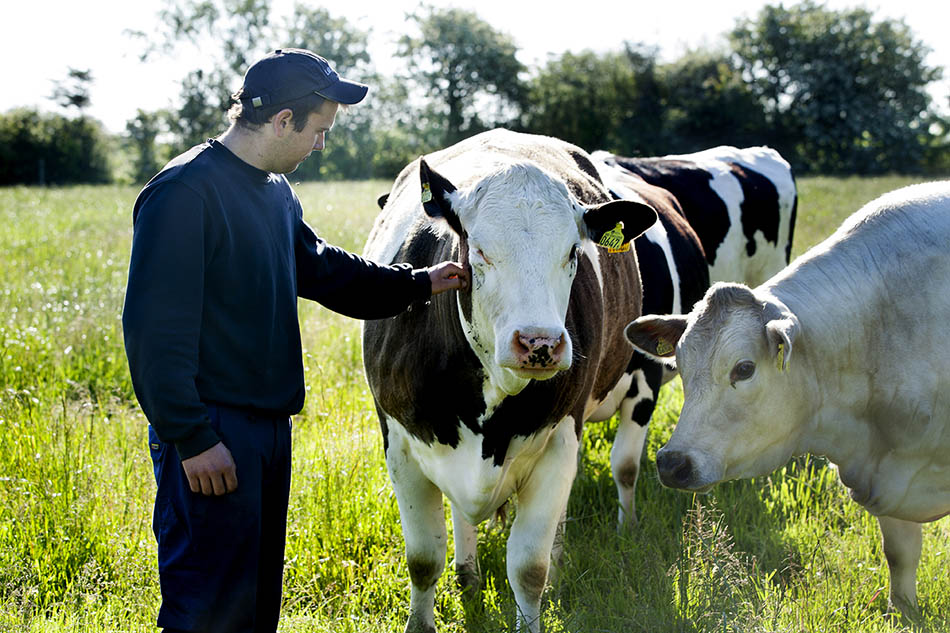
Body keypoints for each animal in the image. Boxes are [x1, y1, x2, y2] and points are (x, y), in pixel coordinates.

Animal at [360, 130, 660, 632]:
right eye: (479, 251)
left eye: (573, 252)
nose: (539, 342)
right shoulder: (400, 443)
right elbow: (422, 560)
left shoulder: (560, 440)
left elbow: (528, 569)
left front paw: (543, 581)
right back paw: (467, 573)